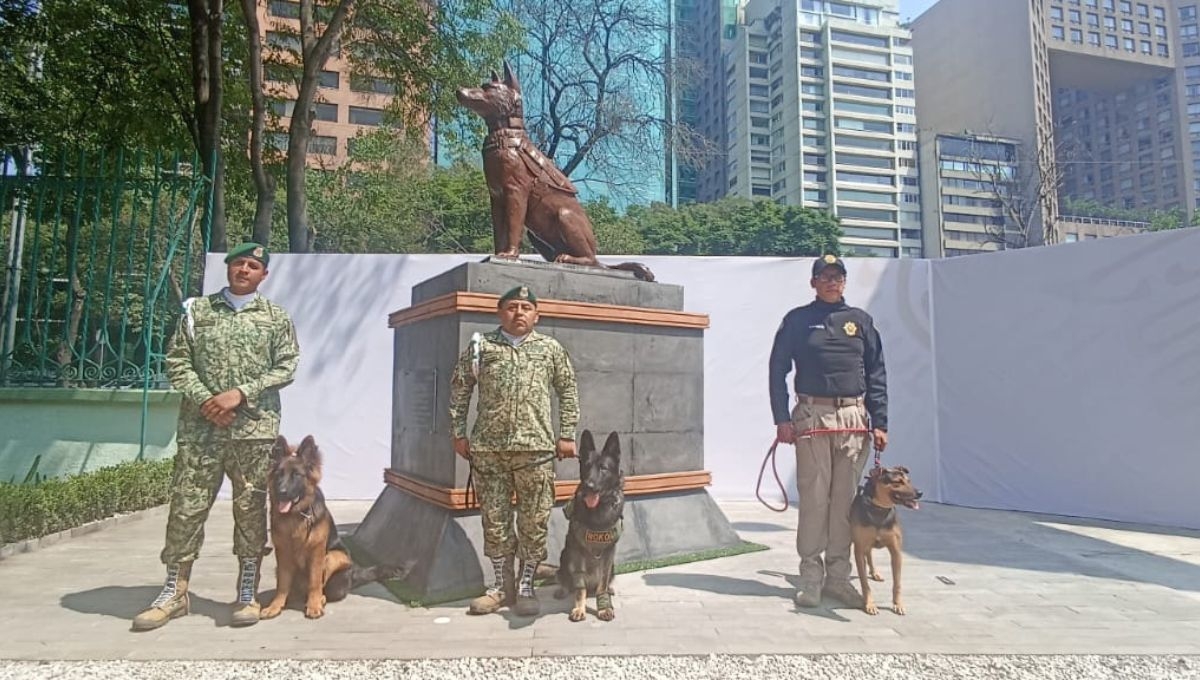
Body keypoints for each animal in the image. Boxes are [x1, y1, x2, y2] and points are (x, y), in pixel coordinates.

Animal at [258, 436, 408, 623]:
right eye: (279, 474)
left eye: (296, 475)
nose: (282, 492)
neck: (297, 515)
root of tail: (352, 575)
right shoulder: (283, 553)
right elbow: (282, 584)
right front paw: (275, 606)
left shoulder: (317, 551)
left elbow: (315, 581)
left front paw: (314, 605)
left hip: (333, 556)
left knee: (323, 588)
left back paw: (319, 599)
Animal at [453, 59, 657, 280]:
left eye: (487, 87)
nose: (459, 90)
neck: (504, 138)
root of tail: (599, 257)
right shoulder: (496, 197)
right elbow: (499, 232)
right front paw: (499, 254)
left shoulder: (516, 193)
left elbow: (513, 228)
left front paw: (510, 254)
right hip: (535, 234)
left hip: (565, 215)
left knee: (590, 260)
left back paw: (570, 259)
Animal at [554, 431, 628, 623]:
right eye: (586, 466)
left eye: (603, 468)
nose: (589, 485)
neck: (598, 511)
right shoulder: (577, 553)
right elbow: (580, 589)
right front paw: (579, 609)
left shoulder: (609, 552)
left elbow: (603, 582)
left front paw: (604, 607)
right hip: (565, 555)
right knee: (565, 579)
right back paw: (563, 589)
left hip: (612, 564)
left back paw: (608, 588)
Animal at [849, 467, 921, 618]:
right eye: (897, 482)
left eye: (909, 481)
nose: (920, 493)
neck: (879, 509)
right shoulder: (859, 548)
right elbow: (864, 583)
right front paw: (870, 604)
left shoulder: (896, 551)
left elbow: (897, 583)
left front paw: (898, 604)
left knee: (869, 554)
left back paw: (875, 573)